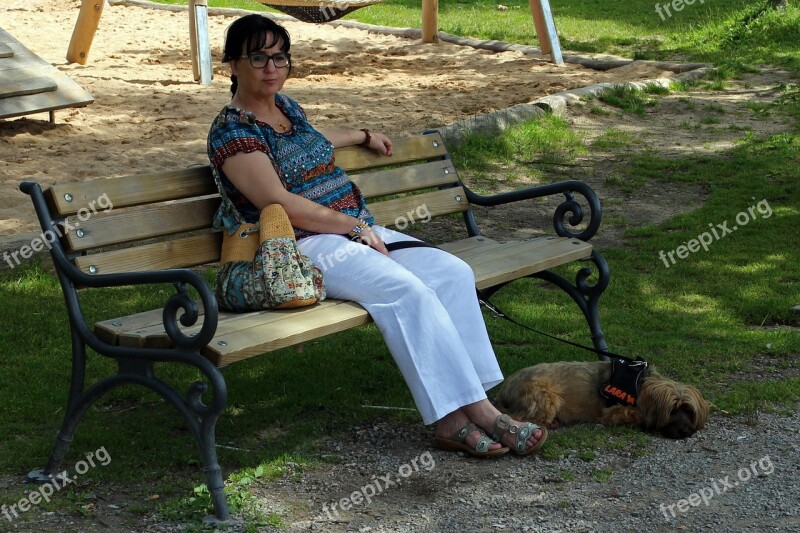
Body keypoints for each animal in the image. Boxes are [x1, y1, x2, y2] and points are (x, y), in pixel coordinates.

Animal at [494, 360, 712, 438]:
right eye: (672, 410)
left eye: (689, 411)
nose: (686, 431)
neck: (641, 384)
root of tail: (504, 390)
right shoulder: (615, 412)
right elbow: (637, 415)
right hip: (546, 395)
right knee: (519, 416)